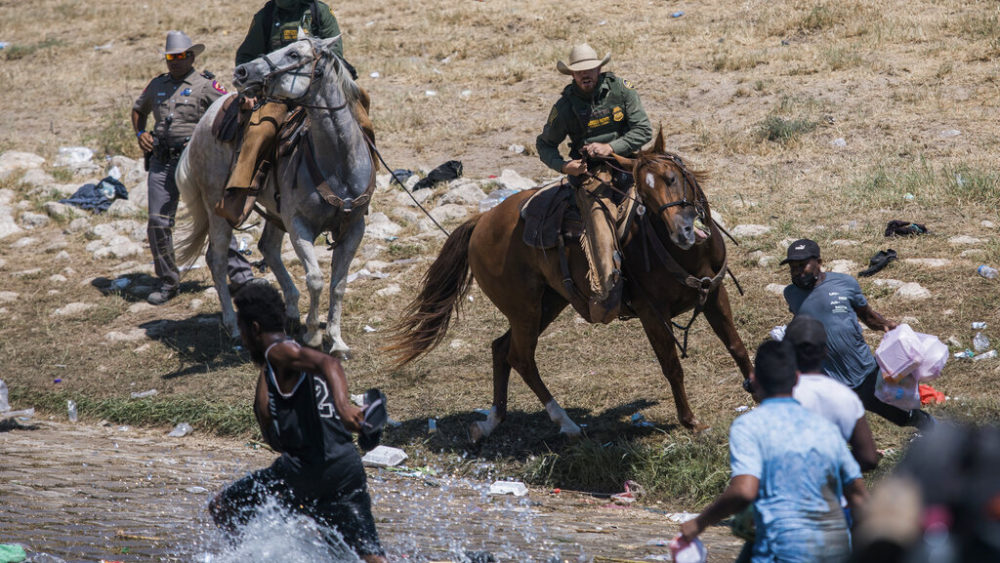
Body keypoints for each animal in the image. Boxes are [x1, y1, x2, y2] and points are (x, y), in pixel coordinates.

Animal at [174, 35, 374, 354]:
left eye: (293, 54)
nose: (242, 72)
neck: (338, 163)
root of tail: (204, 122)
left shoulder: (354, 227)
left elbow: (339, 284)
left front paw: (337, 340)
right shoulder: (299, 225)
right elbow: (316, 279)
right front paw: (313, 335)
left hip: (274, 210)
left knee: (267, 247)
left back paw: (290, 311)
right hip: (218, 209)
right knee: (216, 259)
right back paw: (233, 327)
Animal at [386, 131, 752, 440]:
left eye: (672, 178)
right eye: (644, 194)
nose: (683, 232)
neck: (685, 253)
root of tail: (481, 222)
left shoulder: (714, 294)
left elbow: (736, 345)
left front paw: (755, 387)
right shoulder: (652, 314)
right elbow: (672, 366)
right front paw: (691, 422)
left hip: (547, 304)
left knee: (501, 349)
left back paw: (491, 422)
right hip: (525, 309)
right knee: (520, 357)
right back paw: (565, 422)